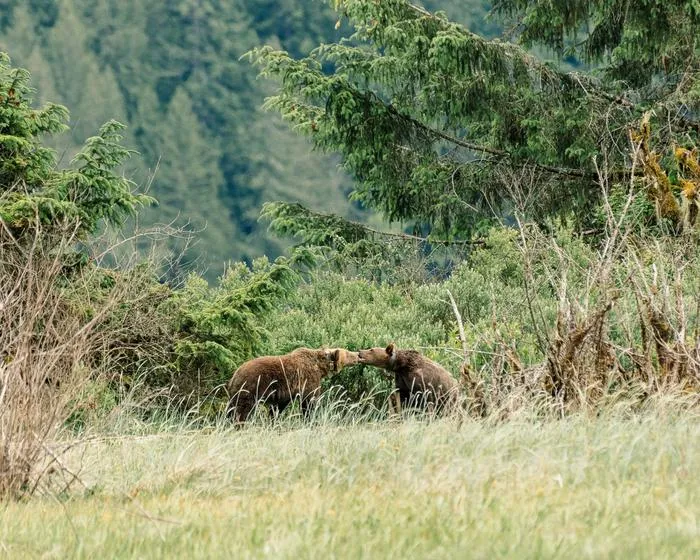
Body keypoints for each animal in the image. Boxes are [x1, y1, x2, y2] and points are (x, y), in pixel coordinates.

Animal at [226, 347, 359, 424]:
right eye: (348, 353)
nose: (358, 354)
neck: (319, 367)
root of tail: (235, 375)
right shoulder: (308, 379)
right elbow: (309, 402)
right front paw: (310, 419)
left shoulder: (285, 392)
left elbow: (278, 407)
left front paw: (273, 419)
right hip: (250, 388)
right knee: (243, 411)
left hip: (236, 392)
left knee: (231, 409)